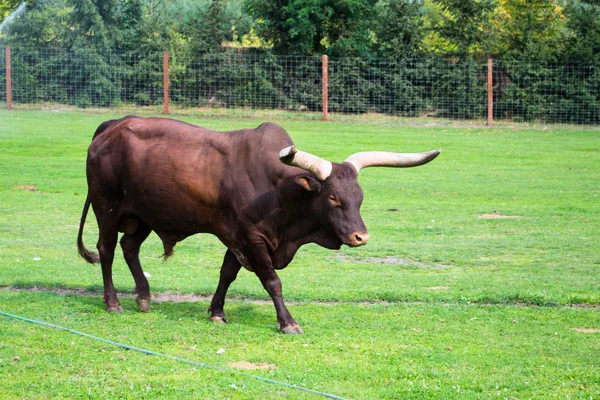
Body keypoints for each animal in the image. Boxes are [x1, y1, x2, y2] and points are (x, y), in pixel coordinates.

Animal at [77, 116, 438, 334]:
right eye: (334, 197)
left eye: (359, 196)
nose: (360, 236)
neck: (280, 190)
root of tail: (112, 126)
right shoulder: (251, 236)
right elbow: (271, 280)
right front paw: (287, 322)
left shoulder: (236, 236)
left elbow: (227, 274)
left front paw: (217, 312)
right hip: (107, 208)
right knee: (106, 249)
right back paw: (113, 303)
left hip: (142, 215)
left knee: (129, 248)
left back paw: (143, 297)